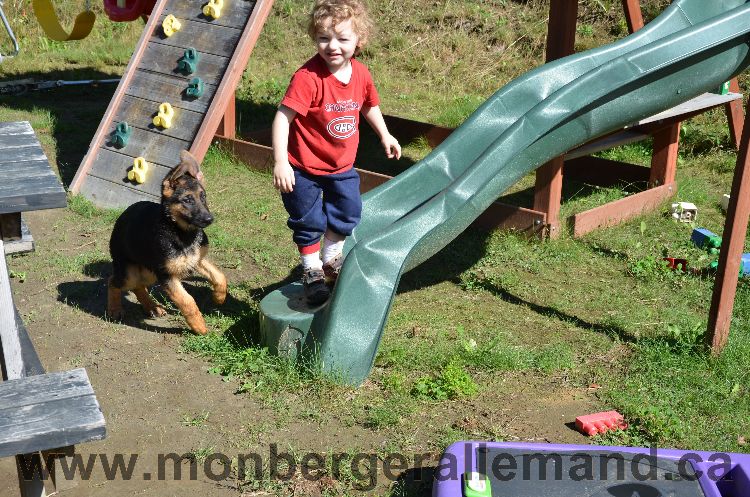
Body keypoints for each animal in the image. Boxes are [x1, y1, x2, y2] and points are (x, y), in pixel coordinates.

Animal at [107, 151, 228, 336]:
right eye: (187, 200)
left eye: (203, 197)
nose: (209, 219)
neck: (182, 232)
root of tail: (124, 214)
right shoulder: (167, 276)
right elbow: (187, 301)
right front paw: (199, 326)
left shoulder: (196, 260)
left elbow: (220, 276)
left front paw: (219, 297)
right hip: (131, 273)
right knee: (112, 281)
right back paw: (114, 309)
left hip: (149, 271)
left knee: (138, 286)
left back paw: (152, 307)